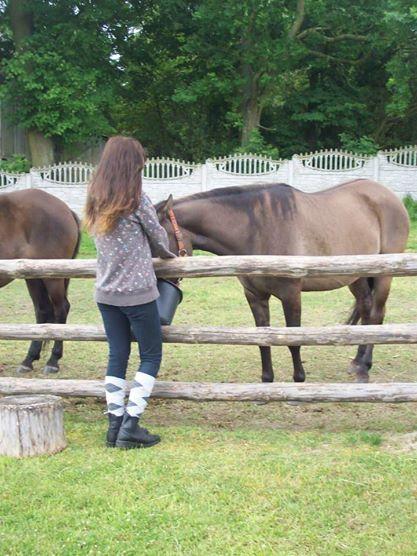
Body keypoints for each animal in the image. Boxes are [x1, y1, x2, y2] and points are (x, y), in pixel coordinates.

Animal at [0, 189, 80, 376]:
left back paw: (53, 361)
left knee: (61, 309)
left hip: (52, 278)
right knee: (43, 311)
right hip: (35, 277)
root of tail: (66, 209)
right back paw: (29, 360)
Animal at [156, 178, 410, 382]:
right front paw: (267, 382)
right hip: (356, 277)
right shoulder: (255, 297)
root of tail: (388, 195)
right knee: (366, 310)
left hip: (384, 274)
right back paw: (357, 362)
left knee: (376, 314)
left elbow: (293, 340)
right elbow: (262, 340)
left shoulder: (291, 295)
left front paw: (299, 381)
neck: (258, 229)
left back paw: (364, 368)